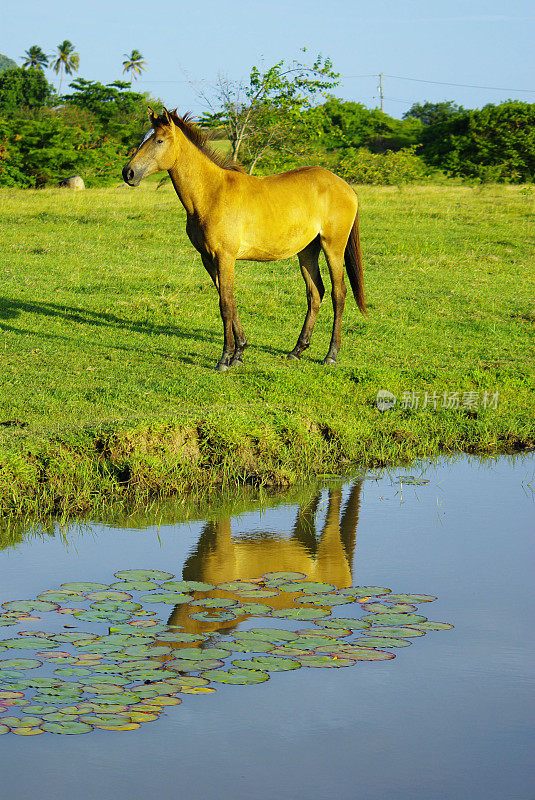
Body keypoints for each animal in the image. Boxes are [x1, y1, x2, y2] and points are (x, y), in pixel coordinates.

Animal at [122, 108, 366, 374]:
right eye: (144, 138)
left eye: (159, 140)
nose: (128, 173)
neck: (211, 194)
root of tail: (346, 186)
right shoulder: (209, 259)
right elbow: (228, 300)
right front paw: (239, 353)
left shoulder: (225, 257)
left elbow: (226, 304)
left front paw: (224, 359)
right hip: (307, 250)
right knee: (315, 292)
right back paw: (296, 351)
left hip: (333, 247)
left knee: (338, 293)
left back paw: (331, 354)